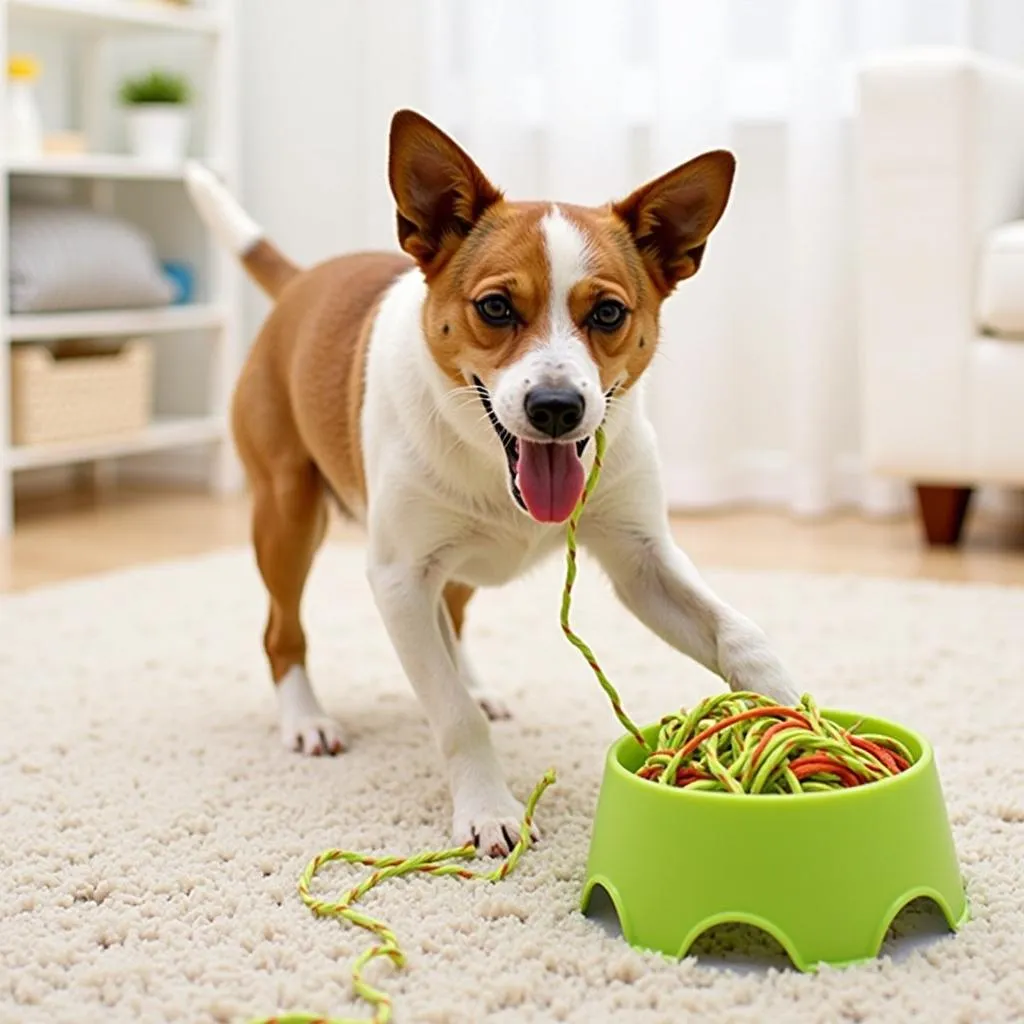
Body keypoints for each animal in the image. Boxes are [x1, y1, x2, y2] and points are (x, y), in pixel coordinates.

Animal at [186, 110, 798, 856]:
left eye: (608, 314)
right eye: (497, 307)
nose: (556, 407)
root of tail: (305, 279)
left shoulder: (642, 560)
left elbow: (741, 634)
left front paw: (798, 718)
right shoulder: (397, 576)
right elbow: (451, 715)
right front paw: (485, 808)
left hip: (454, 565)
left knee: (448, 618)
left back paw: (469, 680)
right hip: (288, 515)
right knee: (283, 629)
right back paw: (306, 717)